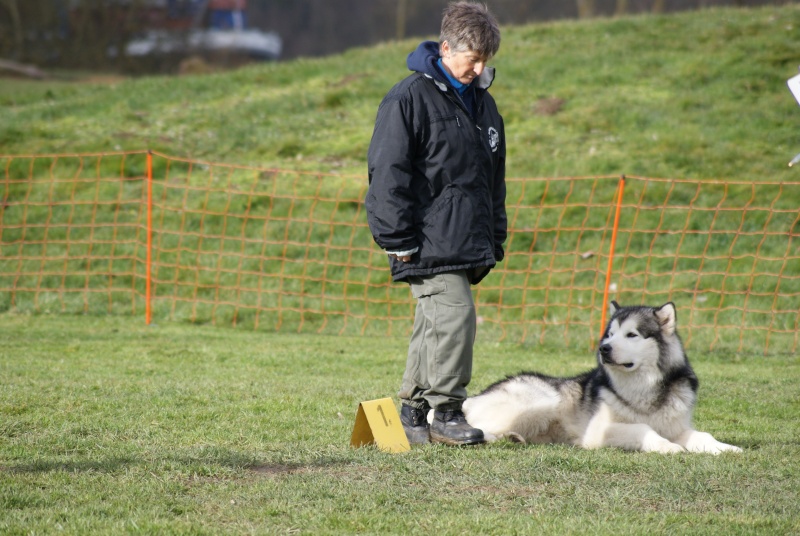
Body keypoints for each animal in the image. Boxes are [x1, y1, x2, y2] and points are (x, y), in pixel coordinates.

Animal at [462, 302, 744, 452]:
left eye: (632, 335)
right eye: (610, 334)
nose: (603, 348)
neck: (644, 390)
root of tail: (474, 397)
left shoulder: (677, 427)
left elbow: (703, 436)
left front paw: (726, 448)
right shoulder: (598, 432)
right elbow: (644, 428)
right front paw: (668, 447)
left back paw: (512, 437)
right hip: (543, 402)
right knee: (477, 428)